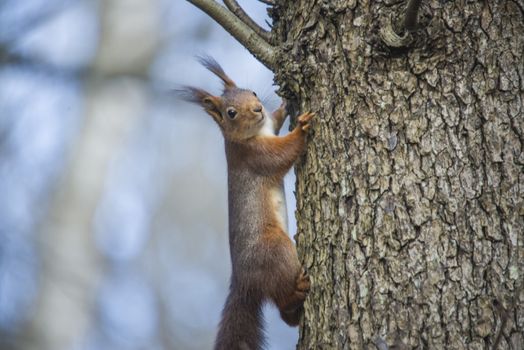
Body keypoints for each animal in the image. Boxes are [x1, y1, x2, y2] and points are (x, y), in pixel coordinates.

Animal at [181, 57, 312, 350]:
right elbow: (283, 153)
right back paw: (297, 292)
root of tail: (244, 283)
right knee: (282, 295)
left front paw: (284, 104)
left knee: (284, 313)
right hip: (275, 250)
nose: (257, 108)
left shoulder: (269, 125)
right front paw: (301, 128)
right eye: (231, 113)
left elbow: (276, 119)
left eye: (252, 92)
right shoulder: (254, 155)